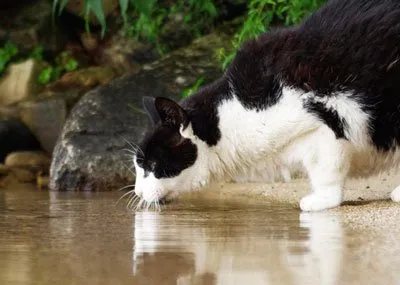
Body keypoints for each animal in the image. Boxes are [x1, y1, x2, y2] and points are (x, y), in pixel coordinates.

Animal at [133, 0, 400, 209]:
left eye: (152, 166)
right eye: (139, 166)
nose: (136, 191)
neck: (230, 117)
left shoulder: (323, 125)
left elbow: (326, 170)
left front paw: (322, 200)